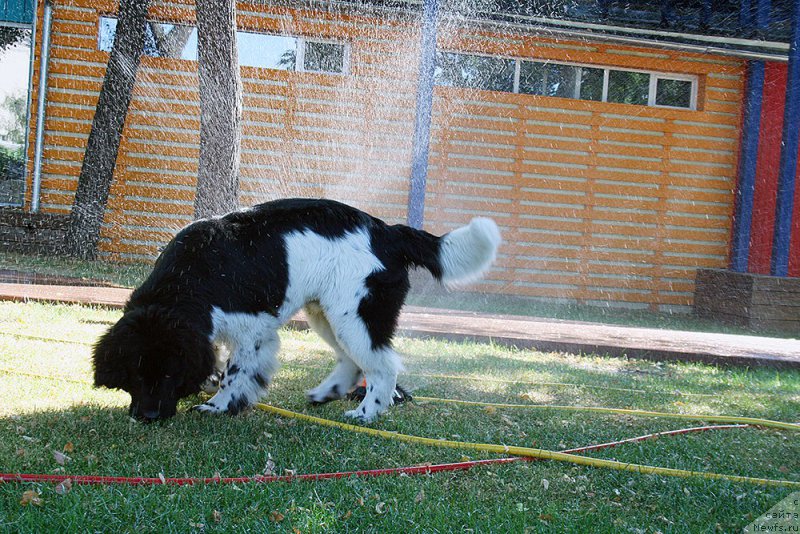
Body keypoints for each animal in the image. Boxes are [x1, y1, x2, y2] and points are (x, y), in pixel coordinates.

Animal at [94, 200, 500, 422]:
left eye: (168, 372)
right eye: (136, 371)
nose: (148, 418)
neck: (188, 281)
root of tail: (387, 231)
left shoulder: (254, 332)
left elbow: (235, 373)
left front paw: (220, 405)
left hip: (355, 315)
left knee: (382, 367)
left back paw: (367, 413)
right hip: (327, 314)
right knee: (352, 362)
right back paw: (328, 392)